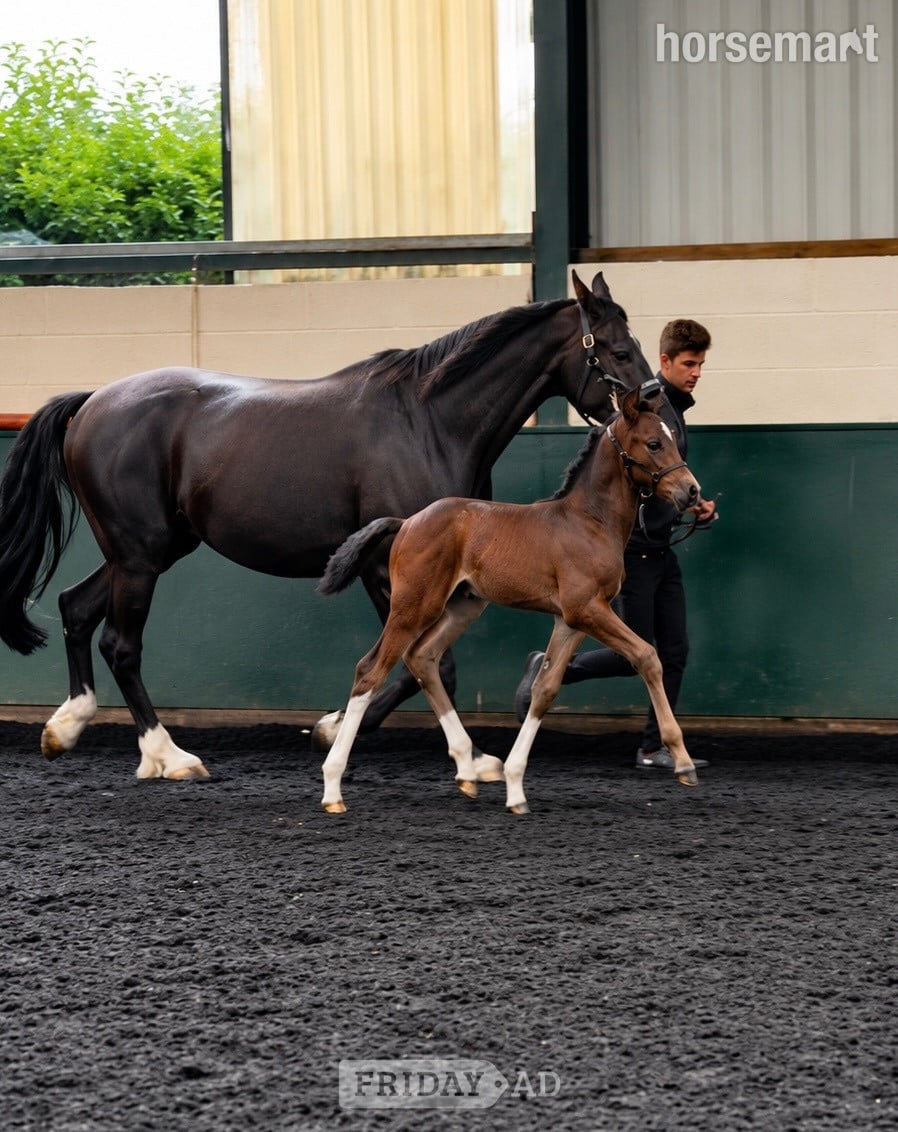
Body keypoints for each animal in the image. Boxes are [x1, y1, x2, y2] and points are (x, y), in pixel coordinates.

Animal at [0, 270, 654, 781]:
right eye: (618, 351)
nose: (660, 410)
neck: (431, 422)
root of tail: (91, 402)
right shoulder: (385, 565)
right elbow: (422, 661)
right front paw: (344, 732)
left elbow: (423, 662)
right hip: (140, 555)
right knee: (121, 643)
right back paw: (169, 756)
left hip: (145, 551)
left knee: (75, 607)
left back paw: (66, 727)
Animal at [316, 384, 703, 814]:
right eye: (654, 443)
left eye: (671, 438)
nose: (692, 491)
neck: (589, 520)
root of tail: (406, 523)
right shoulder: (587, 609)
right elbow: (647, 656)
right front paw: (683, 761)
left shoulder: (570, 620)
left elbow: (545, 688)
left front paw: (516, 786)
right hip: (413, 607)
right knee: (371, 670)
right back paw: (333, 787)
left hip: (463, 606)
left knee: (422, 658)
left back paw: (467, 769)